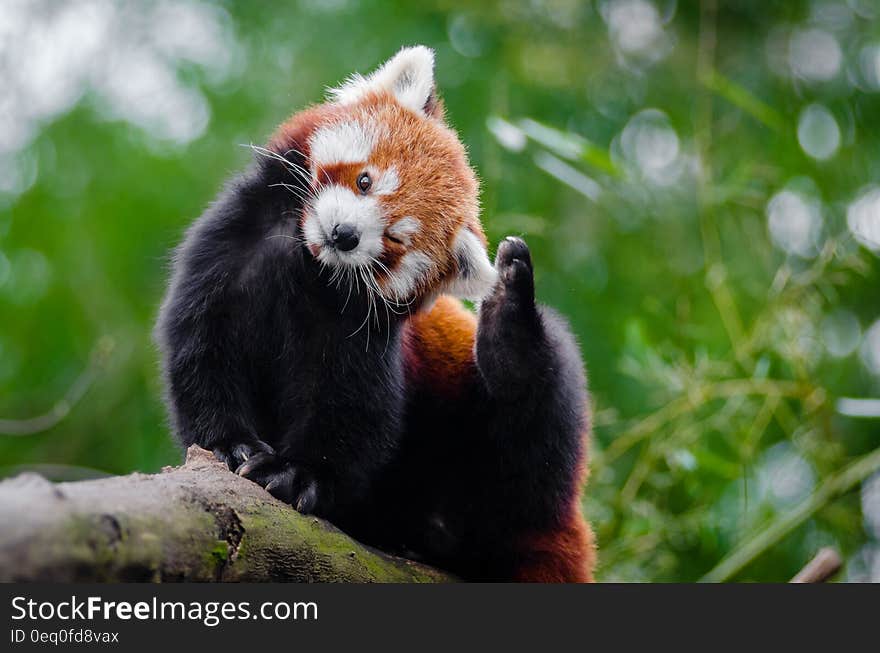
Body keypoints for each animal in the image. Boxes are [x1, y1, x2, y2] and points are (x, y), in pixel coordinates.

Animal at [158, 45, 600, 580]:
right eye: (365, 181)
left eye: (395, 238)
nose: (345, 235)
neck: (307, 264)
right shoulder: (227, 256)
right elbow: (203, 352)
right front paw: (228, 444)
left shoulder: (359, 333)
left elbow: (350, 411)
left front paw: (296, 474)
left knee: (539, 425)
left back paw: (508, 323)